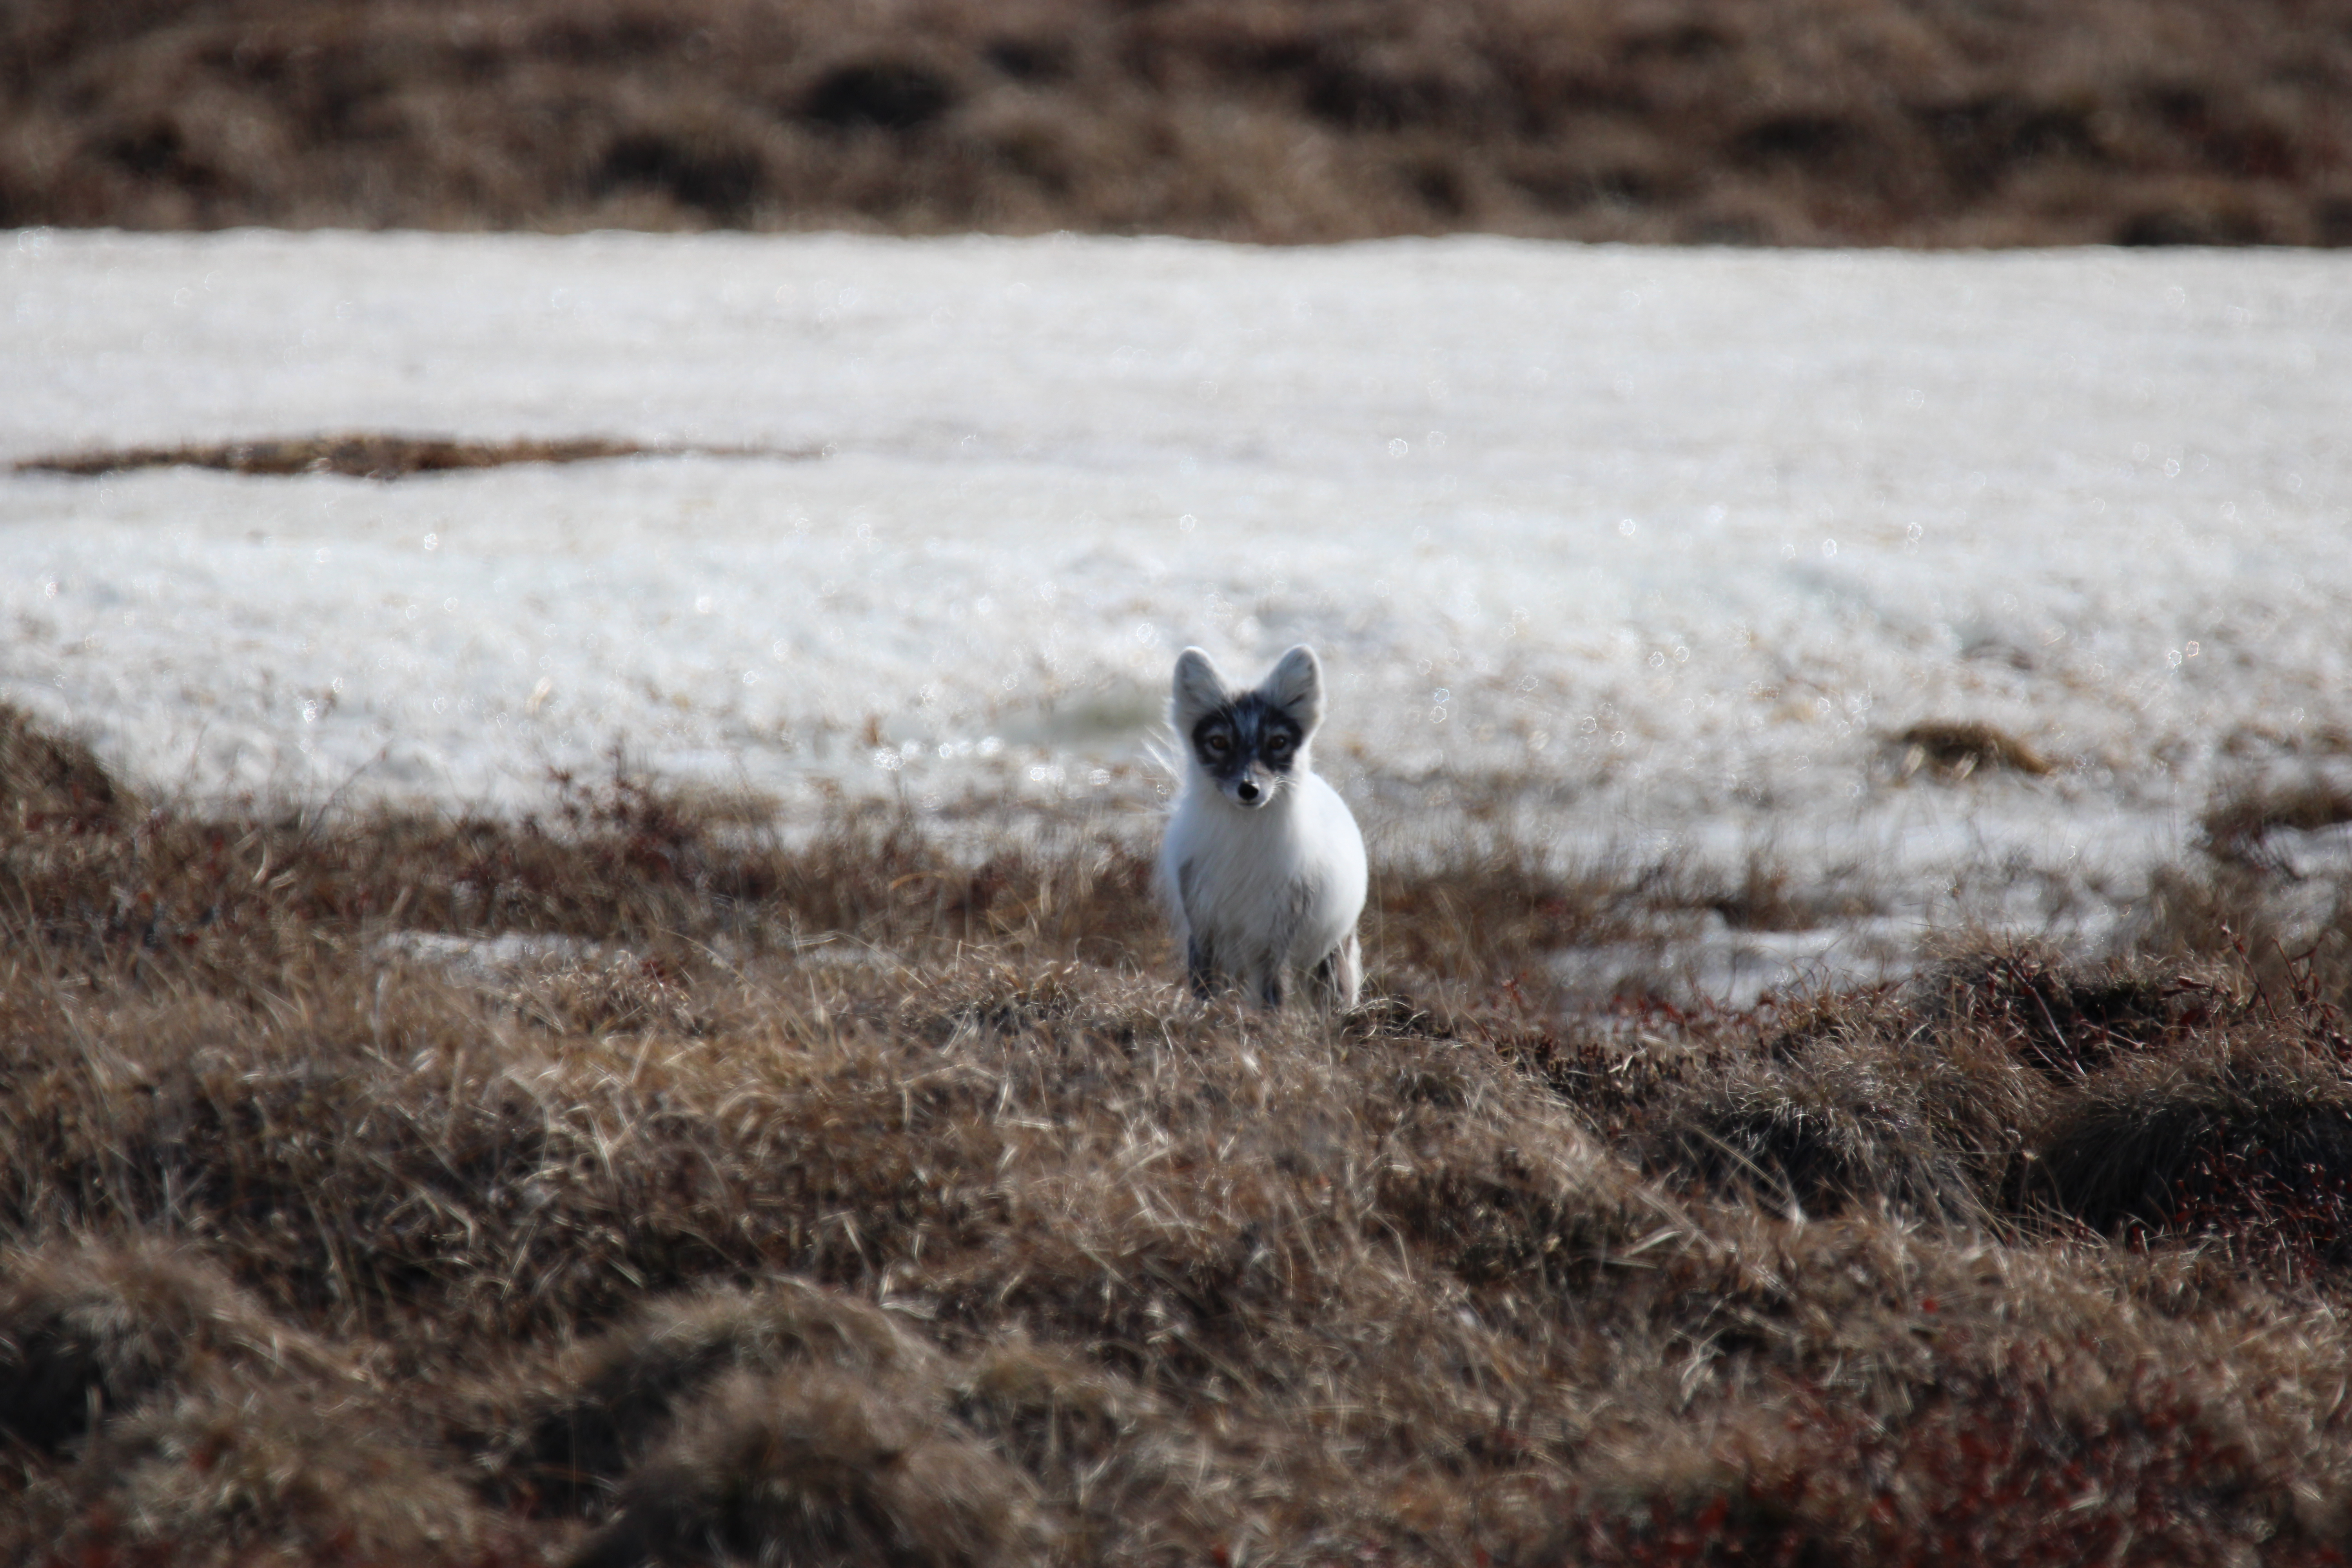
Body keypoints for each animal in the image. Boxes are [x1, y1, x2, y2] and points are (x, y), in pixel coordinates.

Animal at [1159, 644, 1368, 1010]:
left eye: (1278, 742)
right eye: (1219, 743)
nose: (1249, 789)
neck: (1244, 847)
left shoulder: (1276, 933)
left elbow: (1275, 994)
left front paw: (1271, 1024)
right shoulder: (1203, 924)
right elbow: (1204, 986)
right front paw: (1204, 1017)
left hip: (1330, 953)